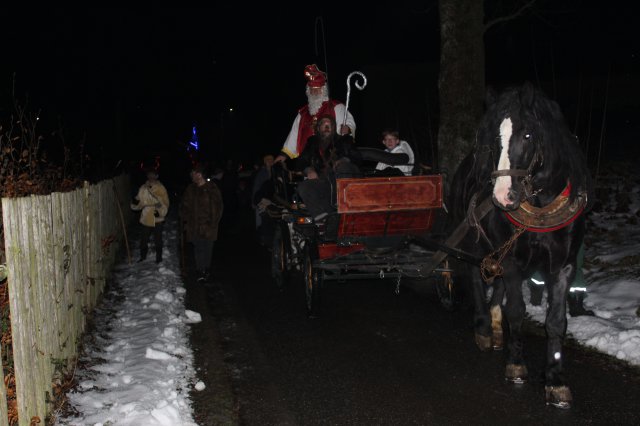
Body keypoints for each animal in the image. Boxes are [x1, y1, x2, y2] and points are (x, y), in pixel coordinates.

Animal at [450, 83, 596, 410]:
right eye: (495, 137)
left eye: (528, 135)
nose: (503, 197)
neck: (539, 204)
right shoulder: (513, 262)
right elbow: (516, 310)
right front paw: (516, 364)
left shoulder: (563, 266)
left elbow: (556, 322)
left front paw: (555, 380)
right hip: (473, 241)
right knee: (475, 278)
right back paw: (483, 327)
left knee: (495, 284)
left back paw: (493, 325)